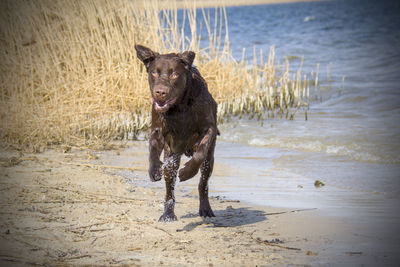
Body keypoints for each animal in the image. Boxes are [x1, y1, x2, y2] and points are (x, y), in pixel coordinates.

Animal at [136, 44, 219, 222]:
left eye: (174, 74)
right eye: (154, 72)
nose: (160, 92)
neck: (180, 106)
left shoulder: (208, 128)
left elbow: (200, 152)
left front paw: (187, 172)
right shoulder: (158, 129)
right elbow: (152, 148)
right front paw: (154, 170)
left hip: (210, 161)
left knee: (203, 183)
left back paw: (205, 209)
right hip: (171, 156)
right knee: (169, 187)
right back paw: (168, 214)